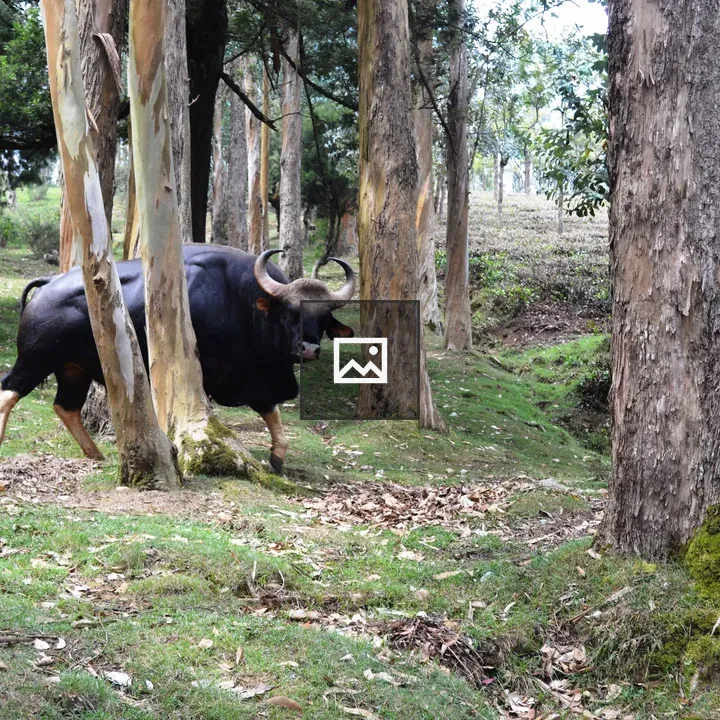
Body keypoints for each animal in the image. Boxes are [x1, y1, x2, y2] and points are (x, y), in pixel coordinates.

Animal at [0, 246, 355, 473]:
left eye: (324, 317)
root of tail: (48, 283)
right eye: (292, 312)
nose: (308, 349)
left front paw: (279, 456)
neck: (240, 303)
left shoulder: (255, 377)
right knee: (9, 391)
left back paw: (97, 455)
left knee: (66, 407)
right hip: (34, 360)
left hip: (73, 369)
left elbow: (273, 413)